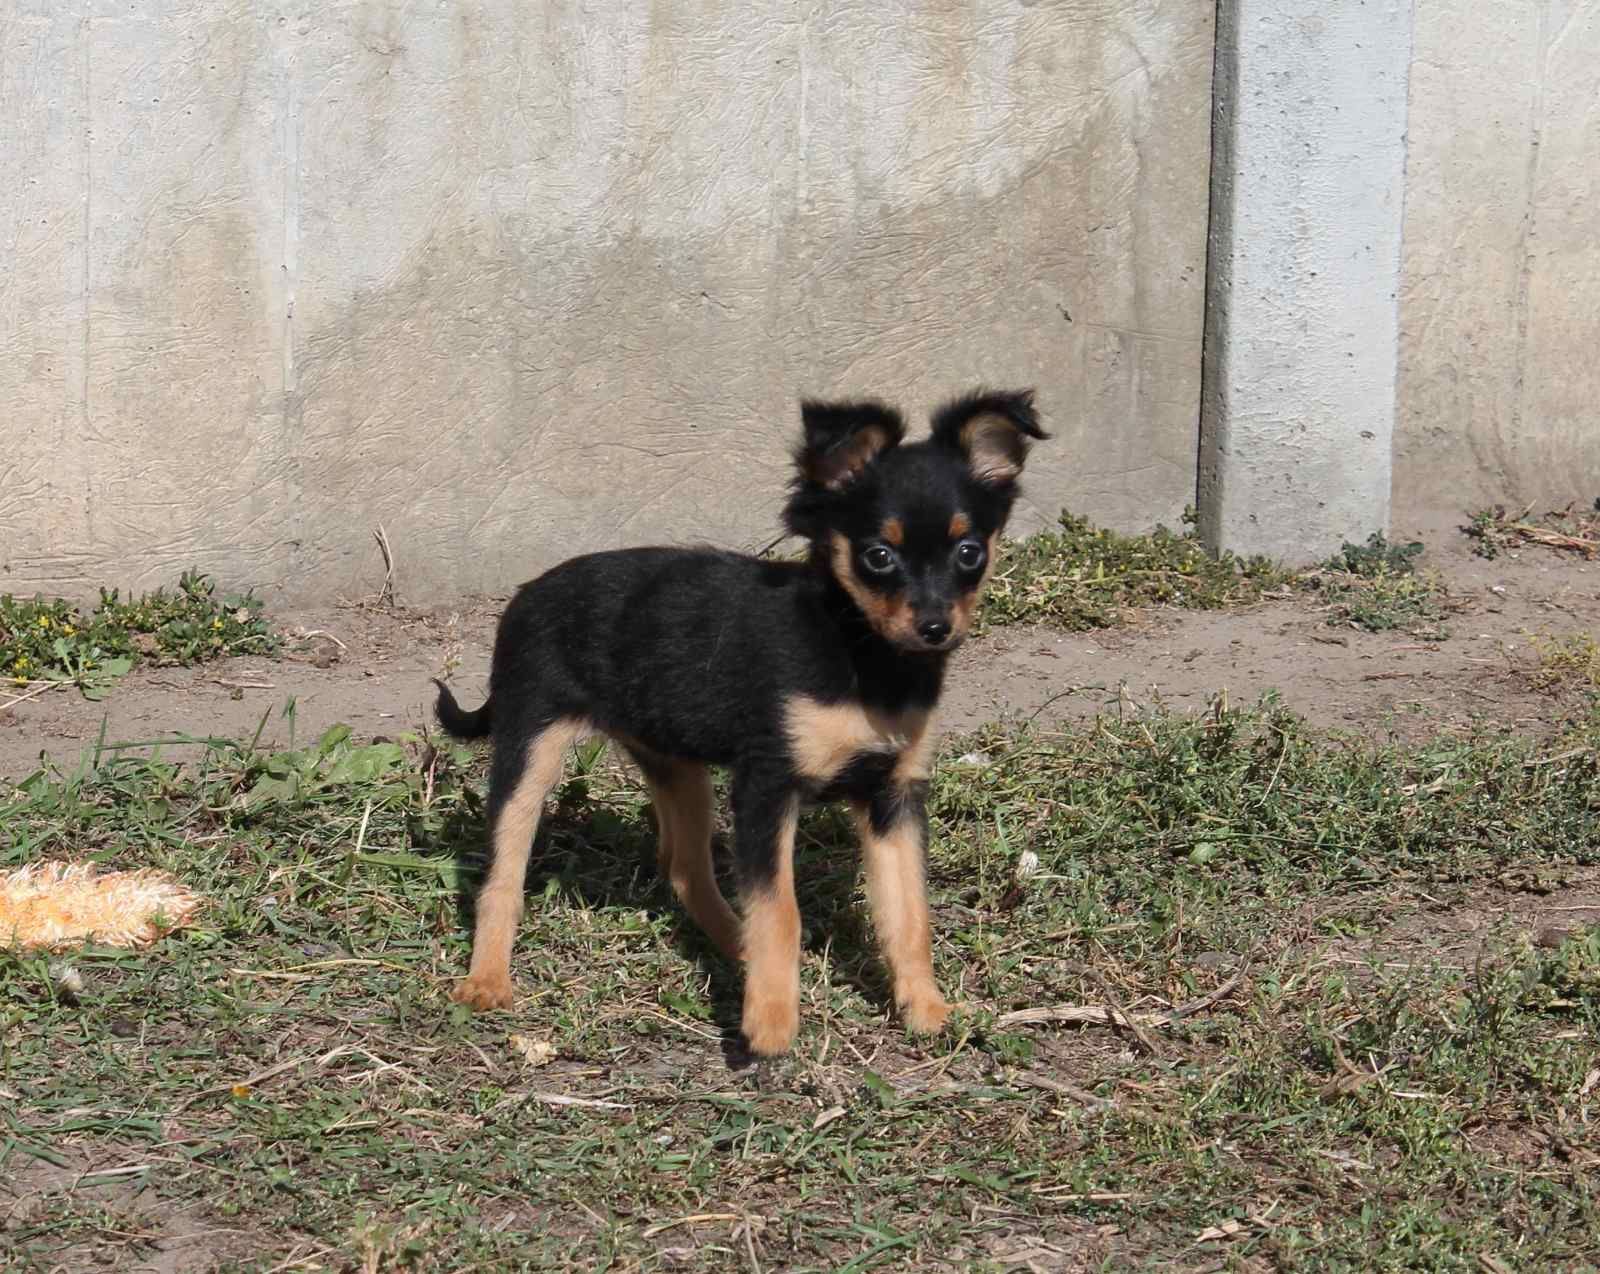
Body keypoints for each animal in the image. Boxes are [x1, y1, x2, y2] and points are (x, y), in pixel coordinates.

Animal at [432, 388, 1043, 1056]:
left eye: (969, 552)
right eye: (878, 557)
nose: (936, 627)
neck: (861, 652)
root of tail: (525, 594)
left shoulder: (894, 796)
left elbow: (908, 914)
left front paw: (926, 1010)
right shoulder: (767, 787)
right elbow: (780, 909)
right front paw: (771, 1023)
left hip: (679, 768)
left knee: (684, 870)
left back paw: (738, 950)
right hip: (529, 749)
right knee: (502, 875)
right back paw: (486, 981)